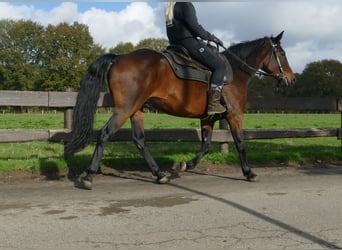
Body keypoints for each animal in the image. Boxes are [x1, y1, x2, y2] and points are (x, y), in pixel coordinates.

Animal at [65, 31, 296, 189]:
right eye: (282, 53)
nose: (292, 79)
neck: (235, 72)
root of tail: (119, 57)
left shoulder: (208, 119)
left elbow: (206, 145)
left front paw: (188, 164)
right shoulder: (234, 115)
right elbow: (240, 144)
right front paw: (249, 173)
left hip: (137, 110)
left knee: (139, 140)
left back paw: (159, 174)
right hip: (125, 109)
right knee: (105, 134)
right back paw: (89, 176)